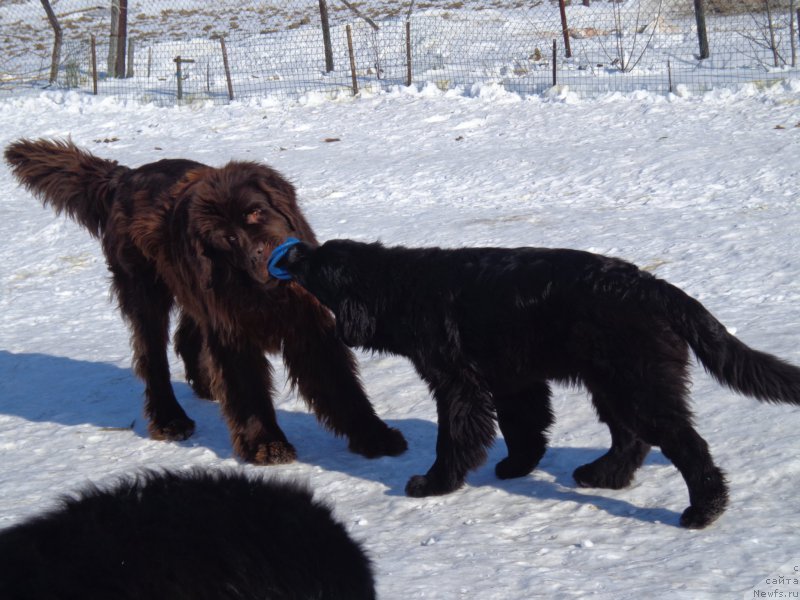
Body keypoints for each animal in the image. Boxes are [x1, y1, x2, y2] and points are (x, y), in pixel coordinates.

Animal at [4, 139, 406, 464]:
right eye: (228, 238)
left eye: (256, 212)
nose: (261, 253)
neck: (260, 293)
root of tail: (124, 177)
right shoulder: (234, 332)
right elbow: (248, 389)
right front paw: (266, 444)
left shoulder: (305, 324)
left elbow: (341, 386)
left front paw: (375, 436)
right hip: (145, 293)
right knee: (152, 357)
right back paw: (170, 418)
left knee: (187, 336)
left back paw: (206, 385)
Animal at [274, 239, 800, 528]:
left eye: (314, 265)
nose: (294, 250)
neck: (401, 288)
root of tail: (653, 286)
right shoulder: (513, 379)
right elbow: (523, 428)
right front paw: (515, 467)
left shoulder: (457, 383)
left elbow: (456, 436)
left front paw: (435, 483)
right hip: (611, 382)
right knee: (630, 439)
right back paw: (603, 476)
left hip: (637, 383)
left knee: (686, 445)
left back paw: (704, 511)